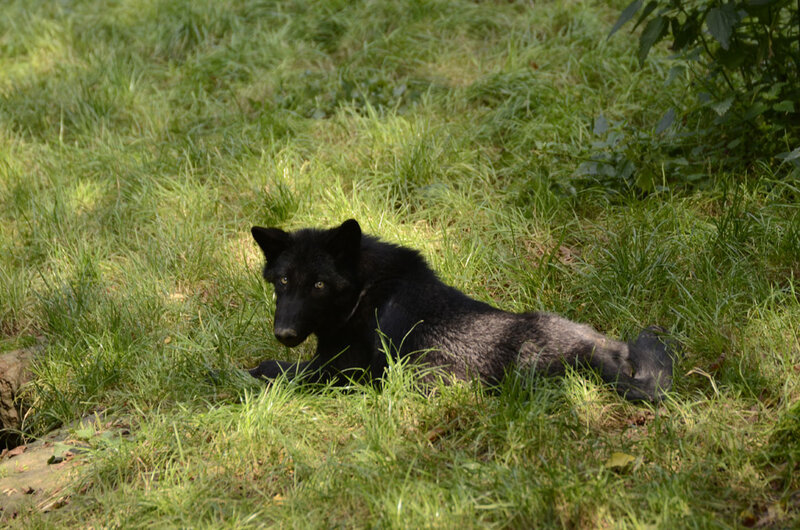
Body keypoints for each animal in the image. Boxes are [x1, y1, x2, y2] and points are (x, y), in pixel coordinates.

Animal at [247, 219, 674, 401]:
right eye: (282, 281)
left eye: (318, 285)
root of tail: (597, 359)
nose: (284, 334)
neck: (367, 293)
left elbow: (272, 370)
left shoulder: (346, 371)